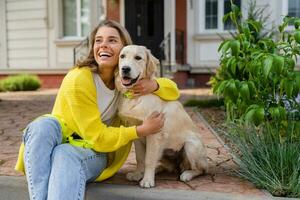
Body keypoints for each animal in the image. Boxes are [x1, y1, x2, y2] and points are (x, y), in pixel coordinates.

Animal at [113, 45, 207, 188]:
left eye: (138, 58)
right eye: (122, 56)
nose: (125, 69)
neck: (136, 96)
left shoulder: (154, 134)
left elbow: (149, 159)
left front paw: (147, 180)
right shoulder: (138, 133)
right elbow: (140, 158)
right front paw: (138, 174)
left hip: (191, 146)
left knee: (200, 169)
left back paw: (187, 174)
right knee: (170, 167)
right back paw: (158, 170)